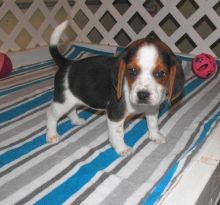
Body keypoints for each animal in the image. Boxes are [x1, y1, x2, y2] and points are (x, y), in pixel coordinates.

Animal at [47, 20, 185, 156]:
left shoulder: (152, 108)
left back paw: (77, 121)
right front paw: (122, 148)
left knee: (71, 111)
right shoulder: (115, 114)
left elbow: (153, 123)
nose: (142, 95)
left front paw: (155, 136)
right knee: (51, 116)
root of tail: (67, 63)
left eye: (161, 73)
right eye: (132, 71)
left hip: (71, 100)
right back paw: (52, 135)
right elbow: (118, 134)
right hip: (62, 102)